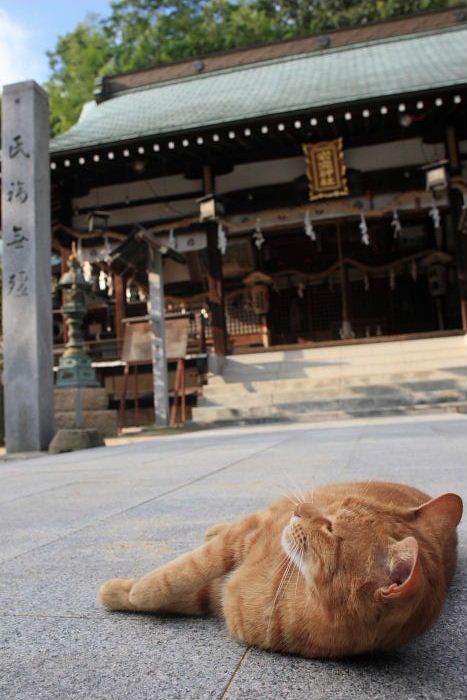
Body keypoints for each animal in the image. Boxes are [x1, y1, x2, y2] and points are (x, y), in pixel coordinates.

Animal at [99, 482, 464, 656]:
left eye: (331, 527)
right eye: (342, 502)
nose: (300, 509)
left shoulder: (220, 596)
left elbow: (178, 584)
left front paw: (123, 592)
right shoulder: (244, 535)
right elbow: (179, 573)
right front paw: (128, 590)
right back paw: (212, 528)